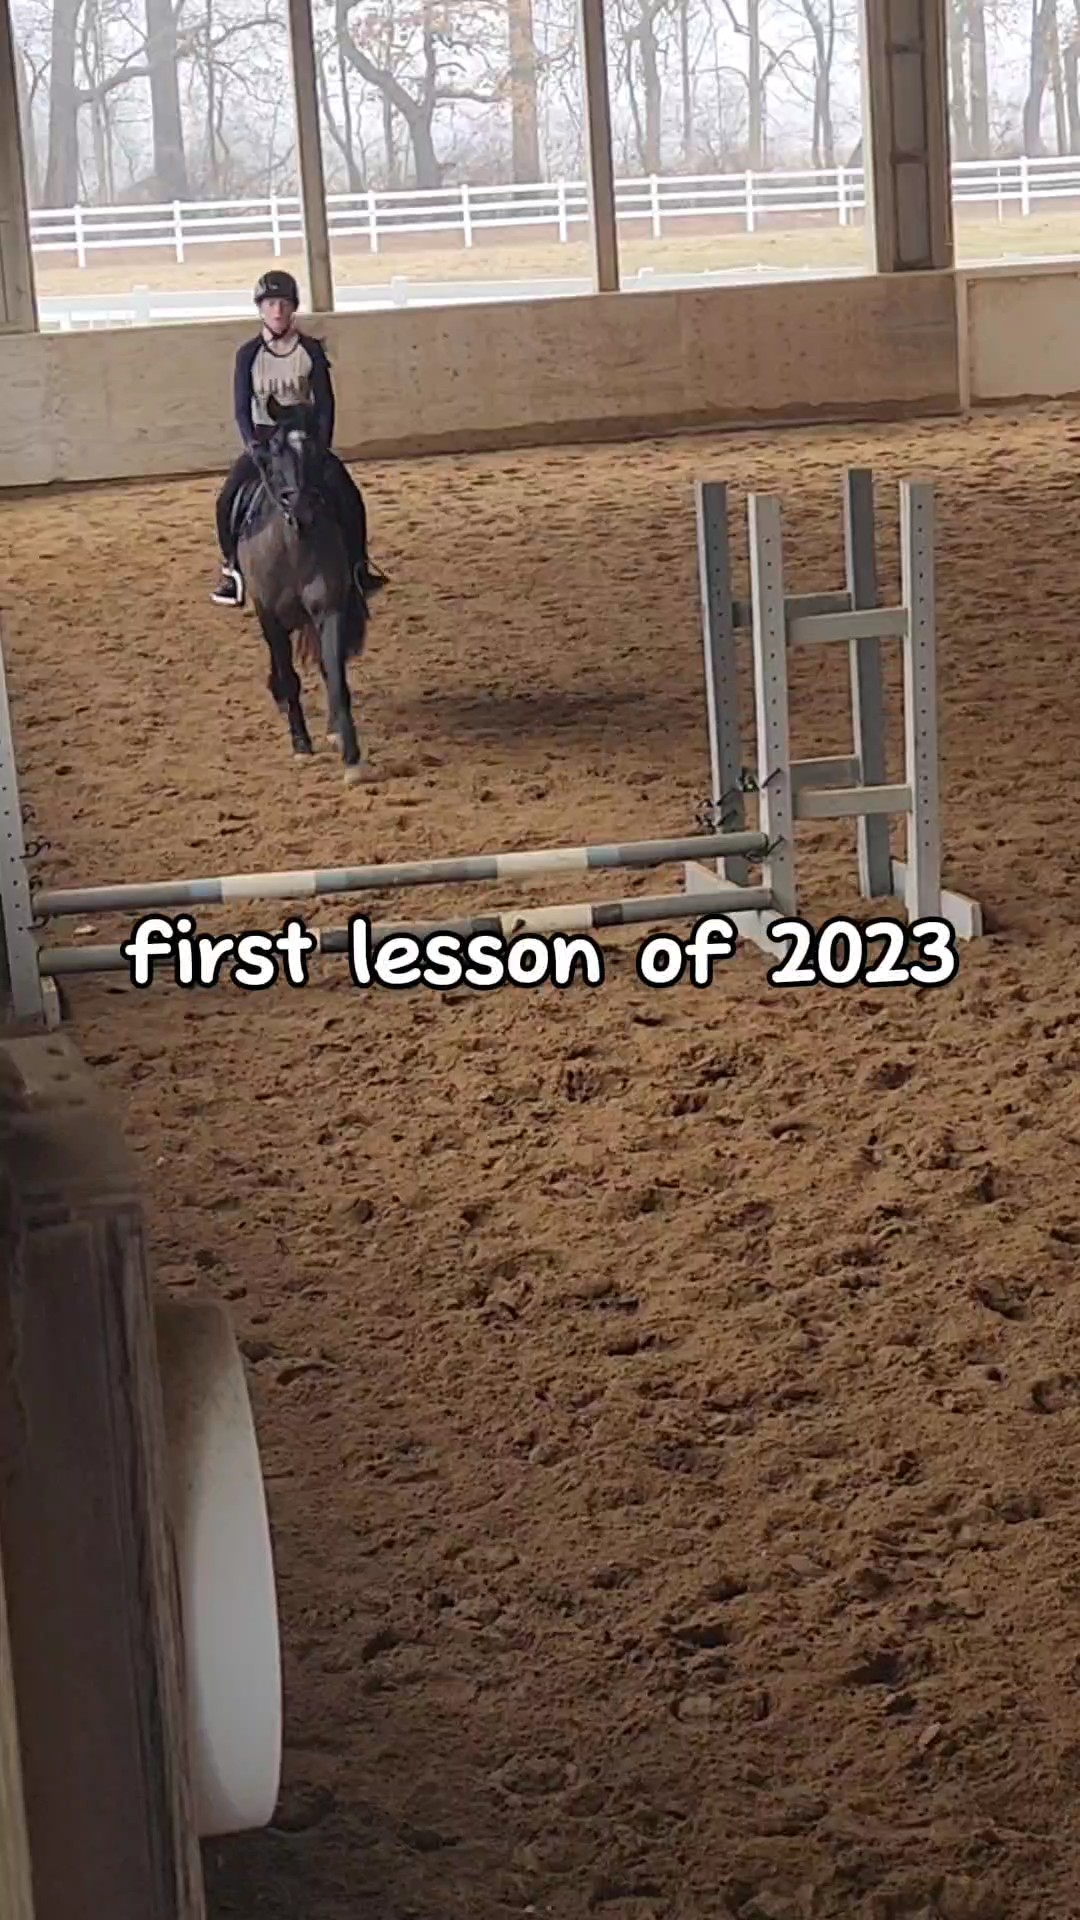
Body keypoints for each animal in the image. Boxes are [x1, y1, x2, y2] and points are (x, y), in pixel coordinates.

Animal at [233, 395, 371, 785]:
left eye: (314, 447)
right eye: (276, 448)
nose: (301, 506)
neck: (292, 543)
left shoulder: (329, 608)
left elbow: (335, 674)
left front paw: (350, 756)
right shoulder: (268, 613)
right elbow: (290, 676)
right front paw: (300, 744)